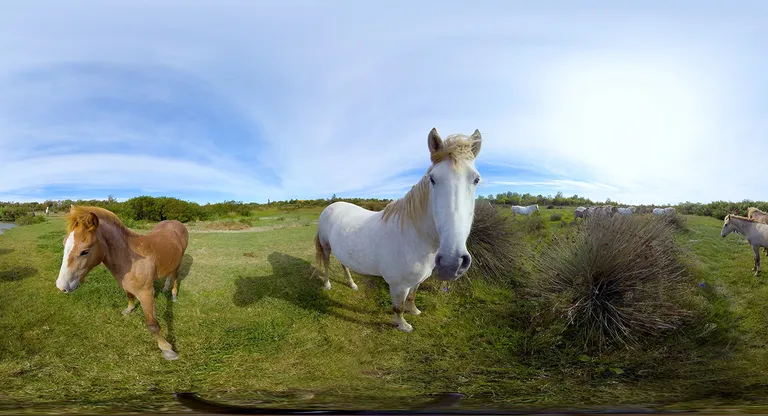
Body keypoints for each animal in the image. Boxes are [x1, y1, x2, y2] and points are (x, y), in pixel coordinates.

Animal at [55, 206, 189, 360]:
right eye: (64, 243)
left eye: (85, 251)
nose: (61, 286)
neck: (131, 259)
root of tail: (177, 223)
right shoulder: (126, 285)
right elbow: (129, 296)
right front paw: (129, 309)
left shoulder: (147, 294)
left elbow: (152, 325)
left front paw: (167, 349)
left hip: (179, 263)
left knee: (175, 277)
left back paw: (173, 295)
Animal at [312, 127, 480, 332]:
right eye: (432, 179)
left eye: (476, 179)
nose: (451, 263)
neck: (413, 237)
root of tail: (332, 205)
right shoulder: (398, 285)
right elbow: (398, 307)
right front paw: (402, 325)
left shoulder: (416, 281)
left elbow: (412, 297)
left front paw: (414, 311)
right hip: (326, 246)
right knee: (327, 263)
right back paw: (327, 284)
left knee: (344, 264)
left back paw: (352, 285)